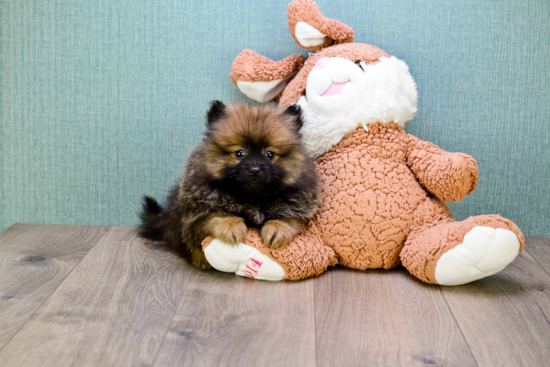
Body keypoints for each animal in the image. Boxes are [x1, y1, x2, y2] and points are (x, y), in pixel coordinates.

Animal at [139, 100, 320, 270]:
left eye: (270, 154)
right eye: (239, 153)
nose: (255, 169)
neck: (252, 198)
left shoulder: (298, 206)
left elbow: (290, 218)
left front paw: (278, 228)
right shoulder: (197, 212)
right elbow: (216, 215)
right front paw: (230, 225)